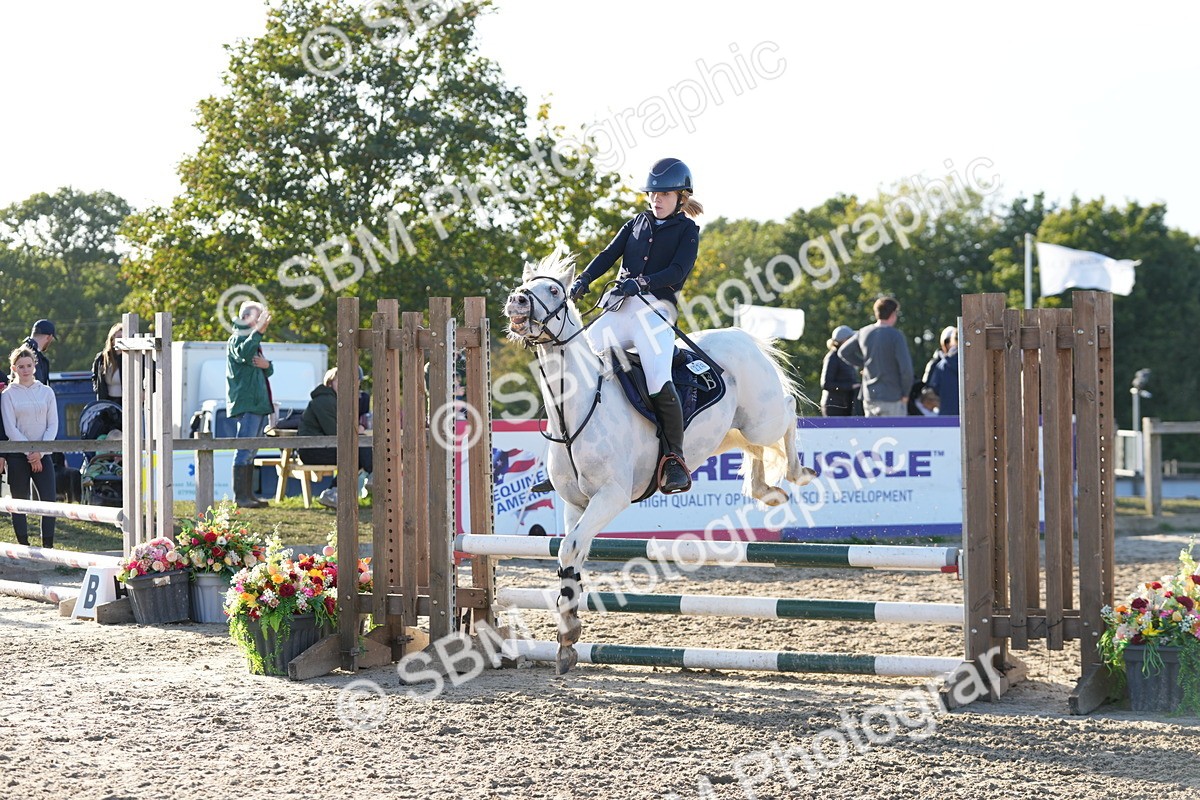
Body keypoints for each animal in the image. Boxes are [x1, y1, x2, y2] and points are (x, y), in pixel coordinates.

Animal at [504, 252, 816, 674]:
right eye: (525, 285)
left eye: (553, 290)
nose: (517, 301)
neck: (578, 408)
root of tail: (739, 336)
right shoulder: (575, 503)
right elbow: (572, 553)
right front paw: (567, 637)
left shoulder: (612, 496)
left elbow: (570, 549)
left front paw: (568, 635)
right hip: (731, 431)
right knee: (755, 449)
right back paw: (766, 491)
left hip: (761, 418)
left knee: (788, 411)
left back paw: (799, 473)